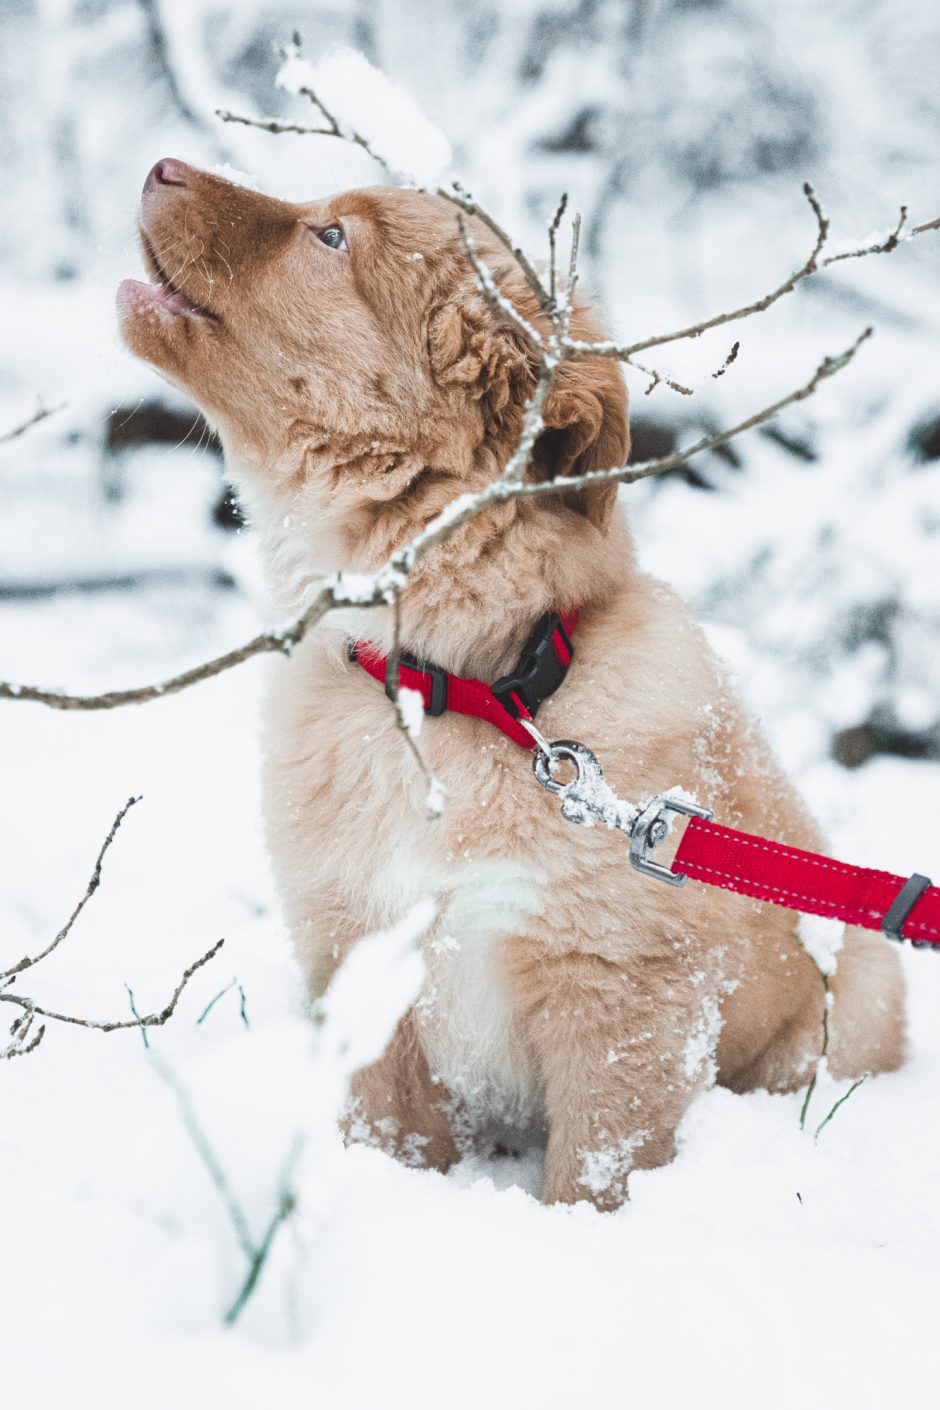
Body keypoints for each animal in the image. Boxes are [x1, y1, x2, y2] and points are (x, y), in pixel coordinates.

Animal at [117, 160, 901, 1206]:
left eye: (331, 238)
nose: (160, 164)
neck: (456, 689)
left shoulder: (621, 999)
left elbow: (594, 1172)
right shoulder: (361, 958)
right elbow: (390, 1140)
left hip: (853, 994)